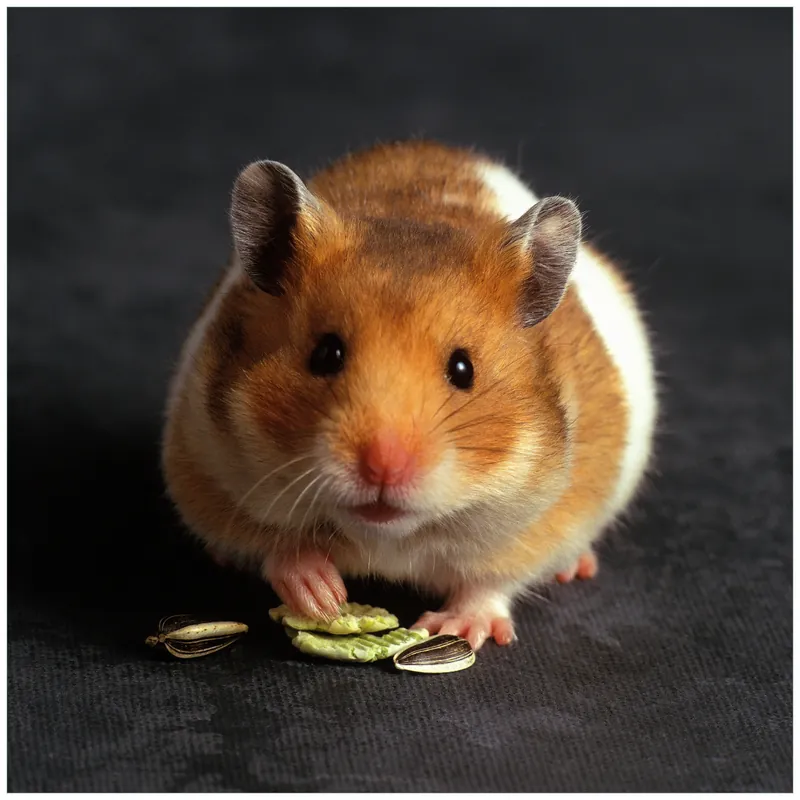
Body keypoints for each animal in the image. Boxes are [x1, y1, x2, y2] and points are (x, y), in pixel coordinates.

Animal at [161, 140, 658, 650]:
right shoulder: (205, 465)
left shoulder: (544, 521)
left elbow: (490, 582)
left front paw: (454, 629)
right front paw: (323, 596)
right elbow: (275, 546)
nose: (383, 467)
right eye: (325, 354)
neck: (388, 534)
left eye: (463, 369)